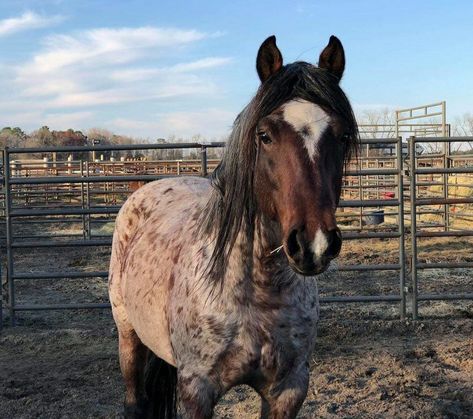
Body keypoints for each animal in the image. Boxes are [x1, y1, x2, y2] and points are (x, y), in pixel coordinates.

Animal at [108, 34, 358, 418]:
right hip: (128, 336)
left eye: (343, 137)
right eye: (265, 135)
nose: (313, 244)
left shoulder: (288, 390)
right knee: (134, 401)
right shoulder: (196, 392)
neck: (258, 294)